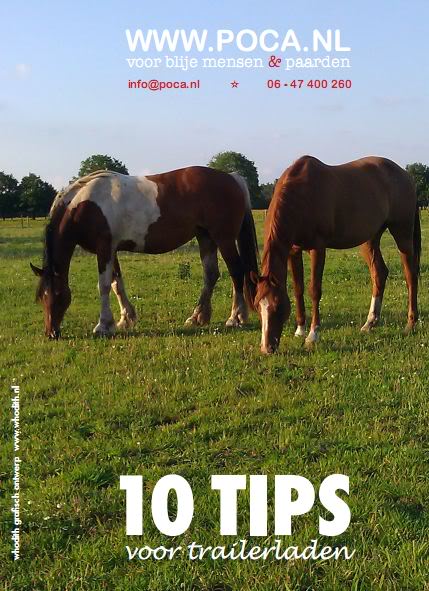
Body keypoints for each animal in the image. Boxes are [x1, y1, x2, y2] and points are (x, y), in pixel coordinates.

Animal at [31, 167, 259, 338]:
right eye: (41, 297)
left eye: (58, 295)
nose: (51, 333)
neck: (85, 205)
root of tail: (232, 177)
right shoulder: (111, 250)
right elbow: (116, 283)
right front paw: (125, 319)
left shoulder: (104, 248)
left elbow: (103, 286)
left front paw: (103, 325)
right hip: (205, 237)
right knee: (211, 275)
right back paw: (198, 317)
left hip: (223, 239)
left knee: (237, 272)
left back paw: (236, 318)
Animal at [253, 155, 421, 354]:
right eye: (256, 305)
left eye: (277, 306)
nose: (266, 348)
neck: (301, 196)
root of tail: (405, 175)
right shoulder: (293, 251)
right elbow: (298, 289)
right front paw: (300, 330)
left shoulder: (318, 248)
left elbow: (314, 290)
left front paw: (312, 335)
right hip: (370, 240)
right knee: (379, 273)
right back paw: (370, 323)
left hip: (402, 232)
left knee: (410, 275)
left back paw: (410, 324)